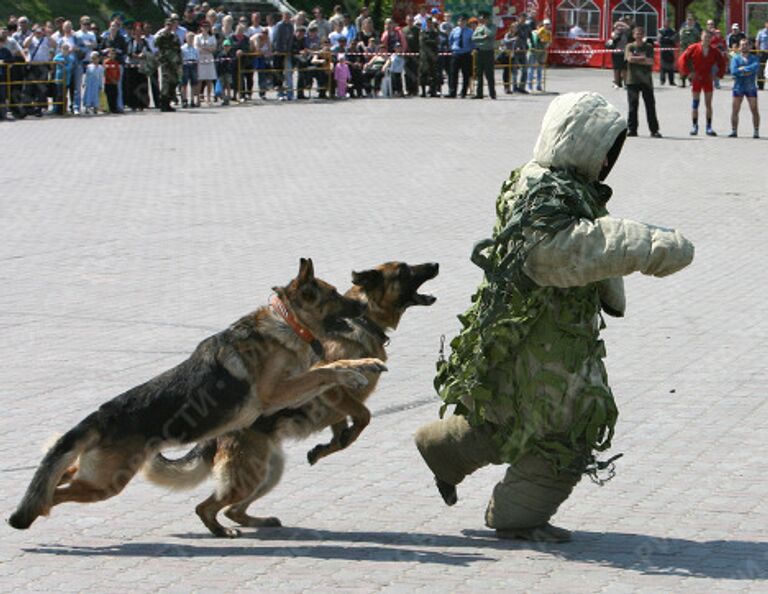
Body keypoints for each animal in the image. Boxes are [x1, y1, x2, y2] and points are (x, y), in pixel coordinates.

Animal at [8, 258, 388, 528]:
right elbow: (326, 370)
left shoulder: (293, 390)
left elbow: (329, 367)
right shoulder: (279, 392)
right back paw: (36, 510)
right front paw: (354, 371)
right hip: (106, 483)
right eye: (335, 295)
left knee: (66, 474)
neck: (287, 322)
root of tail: (100, 416)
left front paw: (364, 363)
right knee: (57, 494)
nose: (362, 308)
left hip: (99, 476)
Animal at [144, 262, 438, 536]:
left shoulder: (334, 405)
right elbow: (363, 417)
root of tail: (214, 436)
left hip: (268, 472)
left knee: (231, 510)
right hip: (249, 477)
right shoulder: (333, 391)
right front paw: (343, 436)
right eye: (404, 270)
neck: (364, 323)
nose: (435, 265)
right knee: (206, 507)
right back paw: (222, 531)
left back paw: (260, 521)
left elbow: (342, 431)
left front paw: (326, 447)